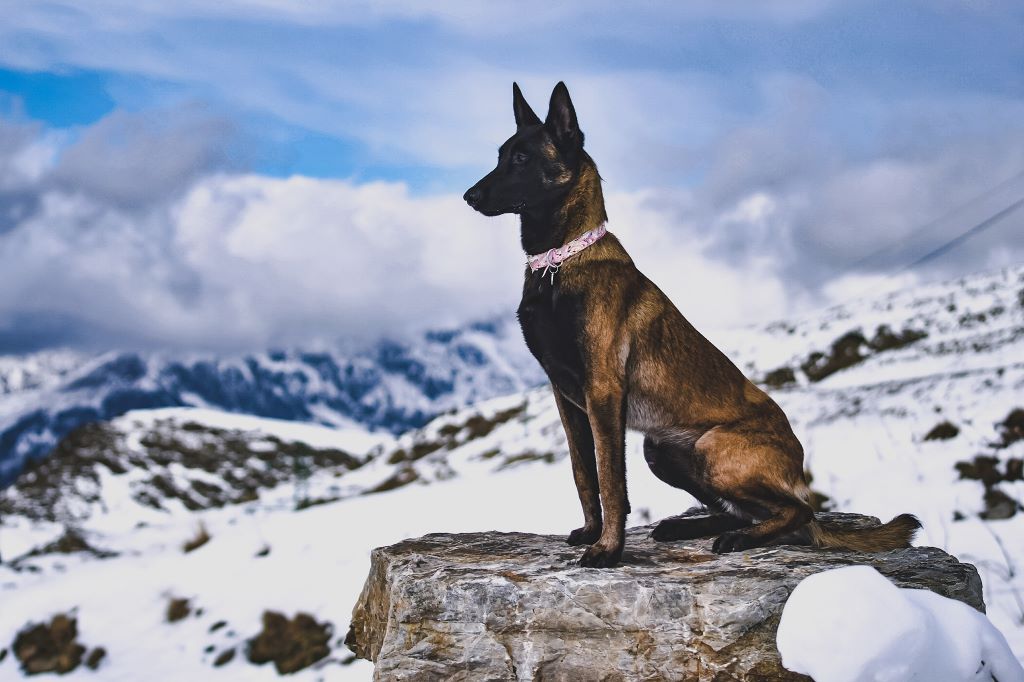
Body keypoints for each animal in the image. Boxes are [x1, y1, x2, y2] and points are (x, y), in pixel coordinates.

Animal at [464, 80, 921, 569]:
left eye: (522, 159)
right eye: (501, 155)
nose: (469, 197)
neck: (559, 261)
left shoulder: (602, 390)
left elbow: (609, 478)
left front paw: (608, 548)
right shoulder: (567, 398)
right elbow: (583, 472)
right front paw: (591, 531)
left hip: (711, 449)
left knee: (797, 511)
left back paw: (741, 537)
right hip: (660, 449)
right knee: (746, 511)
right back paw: (690, 527)